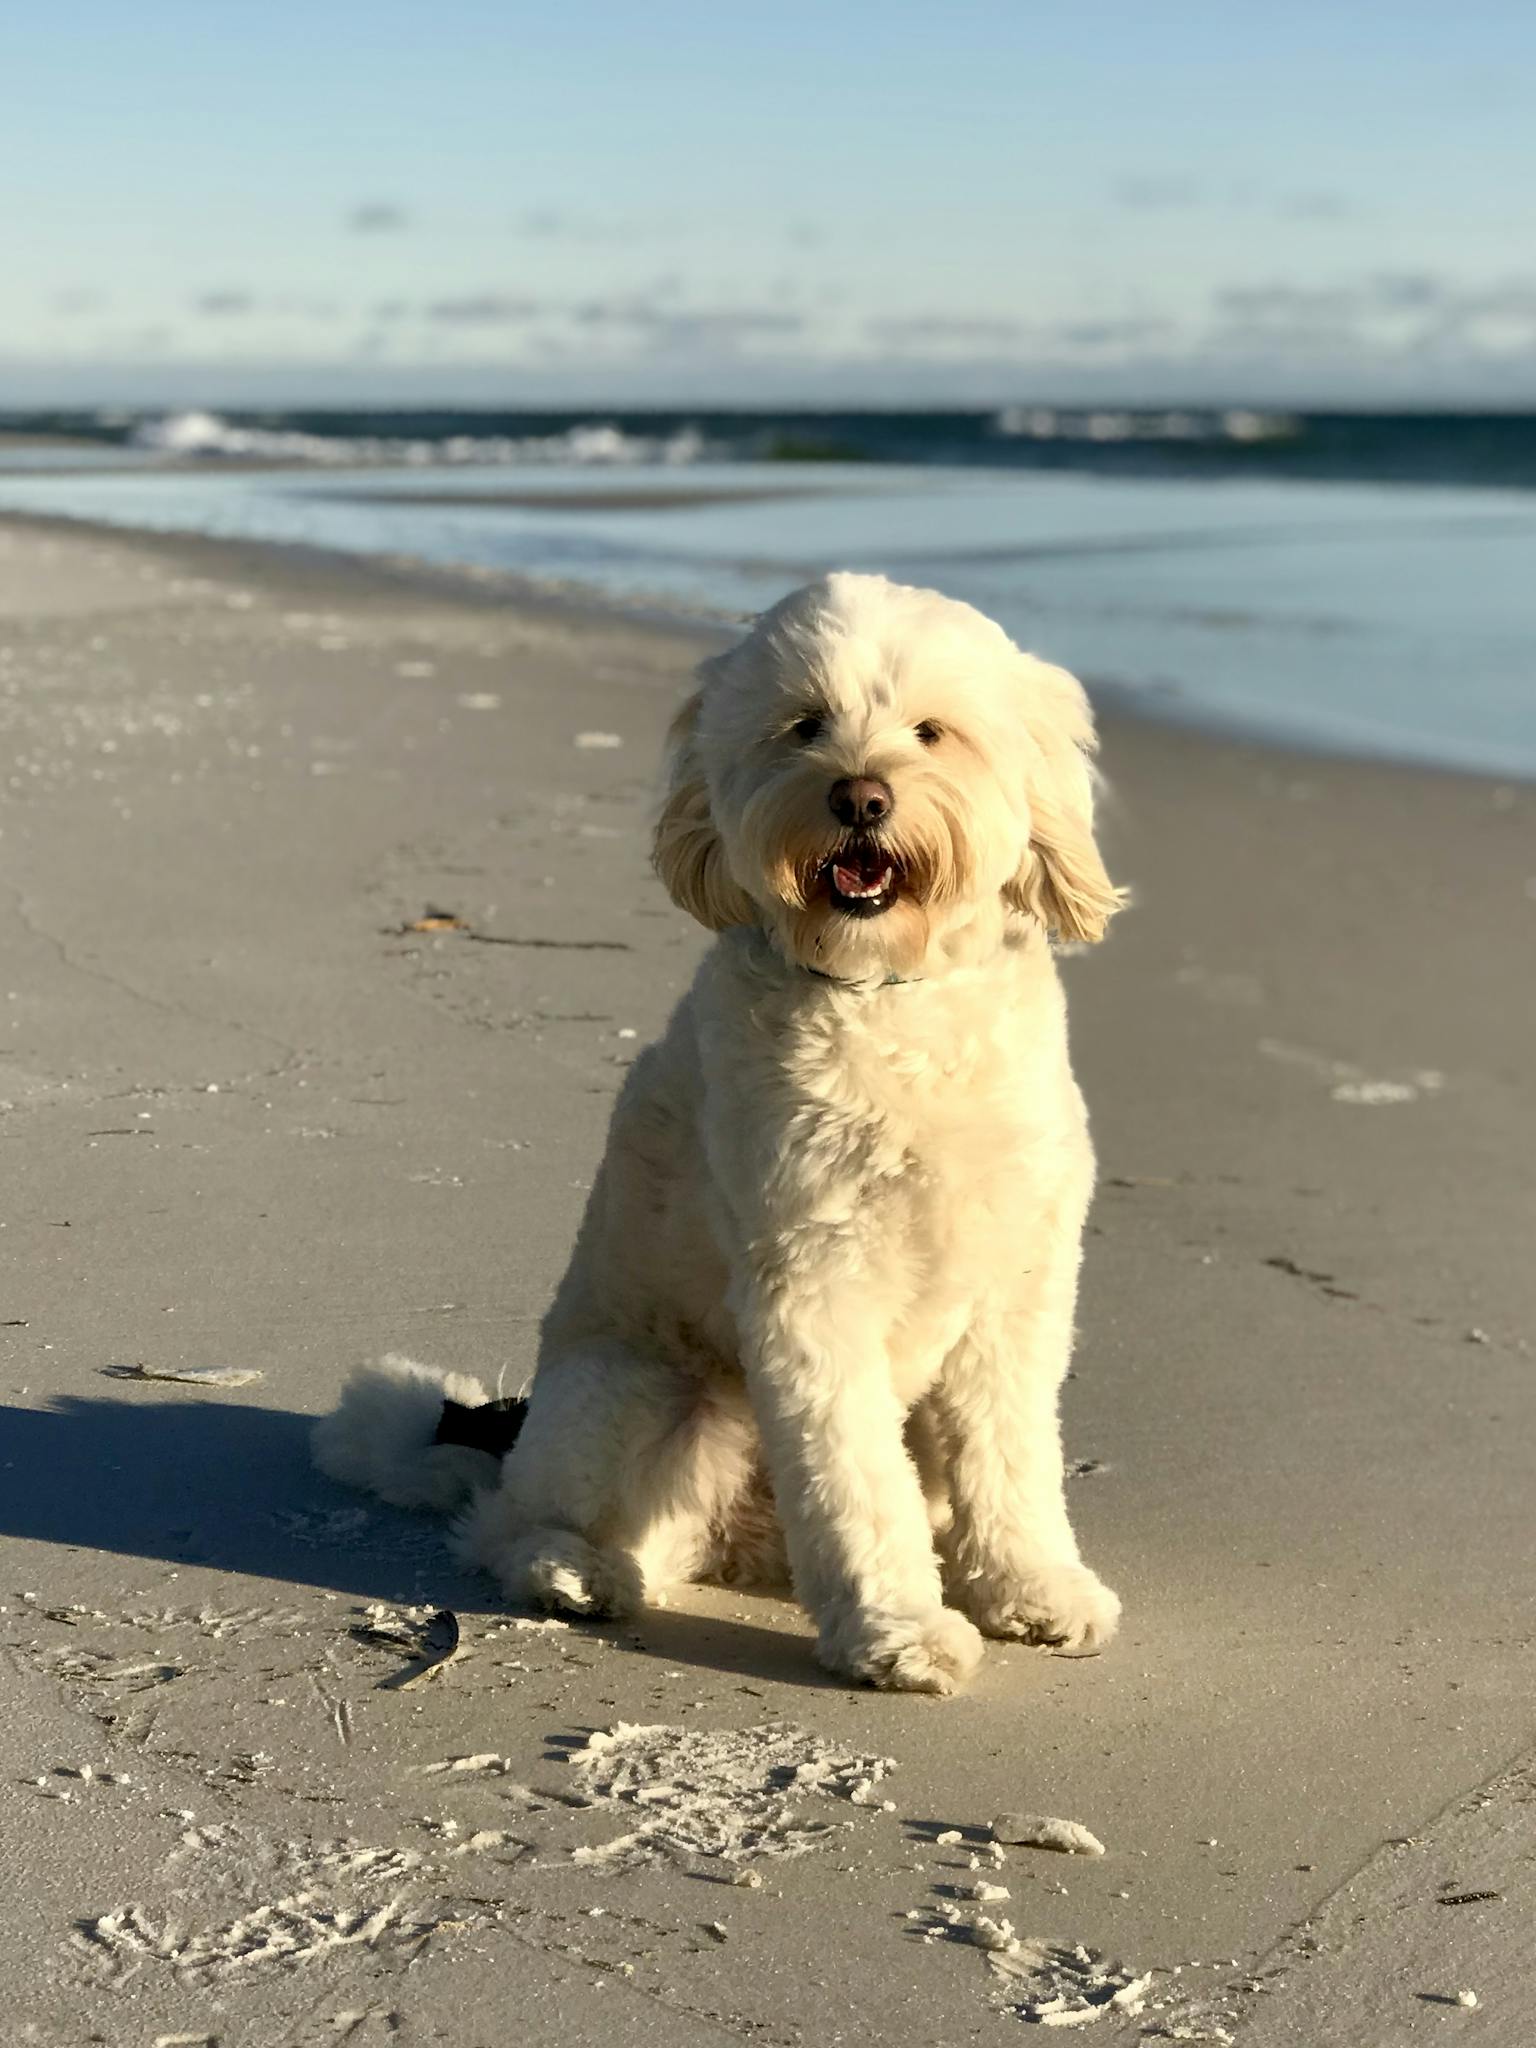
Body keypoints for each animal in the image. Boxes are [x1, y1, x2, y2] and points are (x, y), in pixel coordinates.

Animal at [315, 573, 1130, 1695]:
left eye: (932, 731)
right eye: (806, 725)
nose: (861, 798)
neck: (888, 997)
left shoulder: (1016, 1287)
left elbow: (1010, 1455)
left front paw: (1031, 1587)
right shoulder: (813, 1288)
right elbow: (851, 1477)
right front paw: (898, 1629)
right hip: (642, 1392)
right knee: (510, 1522)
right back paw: (572, 1569)